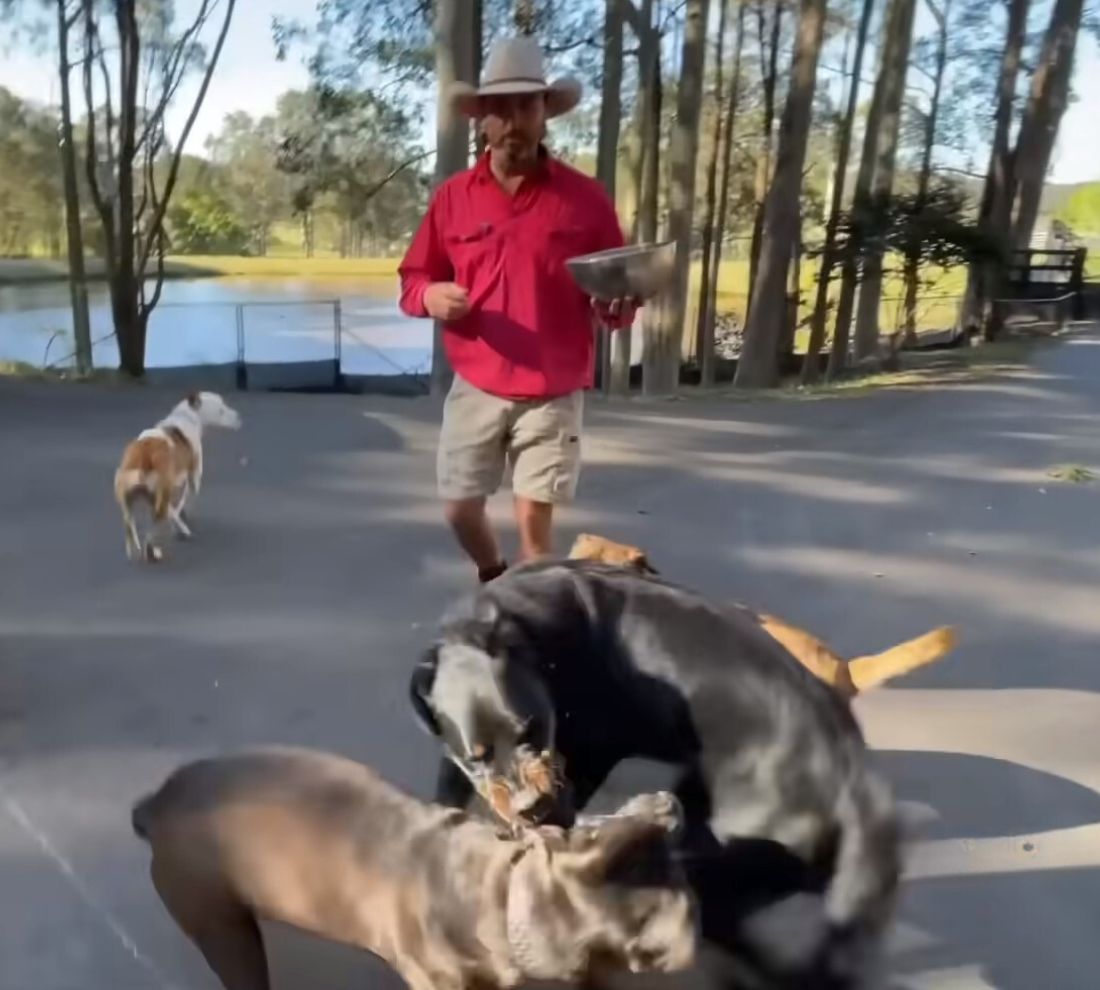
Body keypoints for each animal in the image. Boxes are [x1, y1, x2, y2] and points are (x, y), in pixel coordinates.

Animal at [112, 393, 239, 563]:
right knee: (156, 525)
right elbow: (183, 504)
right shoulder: (193, 480)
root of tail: (145, 452)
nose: (239, 417)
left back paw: (139, 548)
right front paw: (181, 524)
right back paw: (158, 546)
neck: (187, 416)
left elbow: (174, 510)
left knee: (132, 524)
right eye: (221, 410)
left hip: (130, 499)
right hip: (162, 493)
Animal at [133, 748, 690, 990]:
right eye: (598, 833)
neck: (500, 891)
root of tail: (156, 804)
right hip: (220, 925)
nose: (667, 802)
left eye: (592, 820)